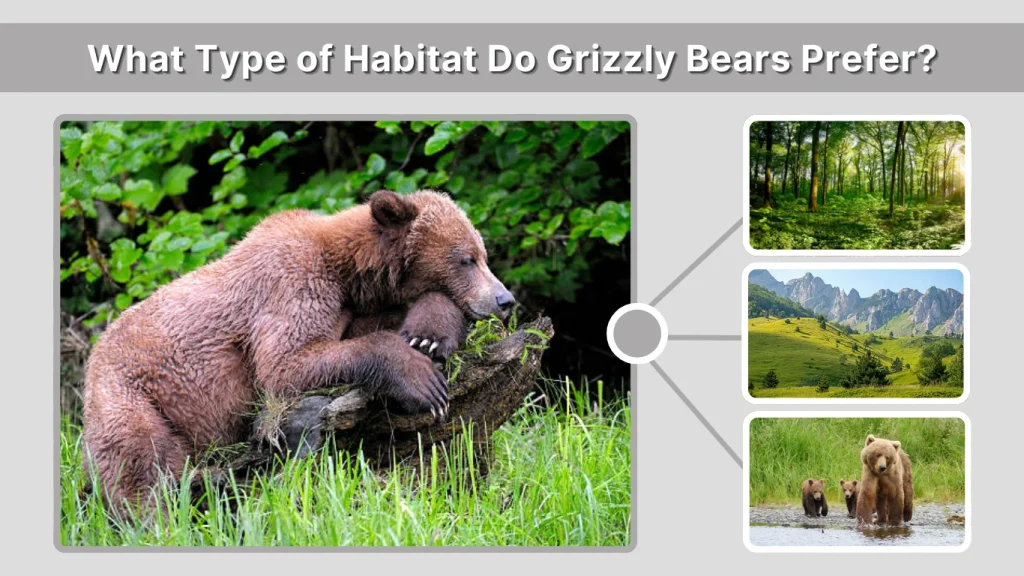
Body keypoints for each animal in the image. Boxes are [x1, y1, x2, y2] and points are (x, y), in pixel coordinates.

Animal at [81, 189, 516, 516]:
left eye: (482, 254)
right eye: (466, 258)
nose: (505, 299)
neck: (349, 272)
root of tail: (91, 361)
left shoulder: (351, 307)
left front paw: (429, 337)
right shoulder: (293, 284)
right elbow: (287, 364)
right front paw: (422, 382)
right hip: (131, 398)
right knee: (141, 467)